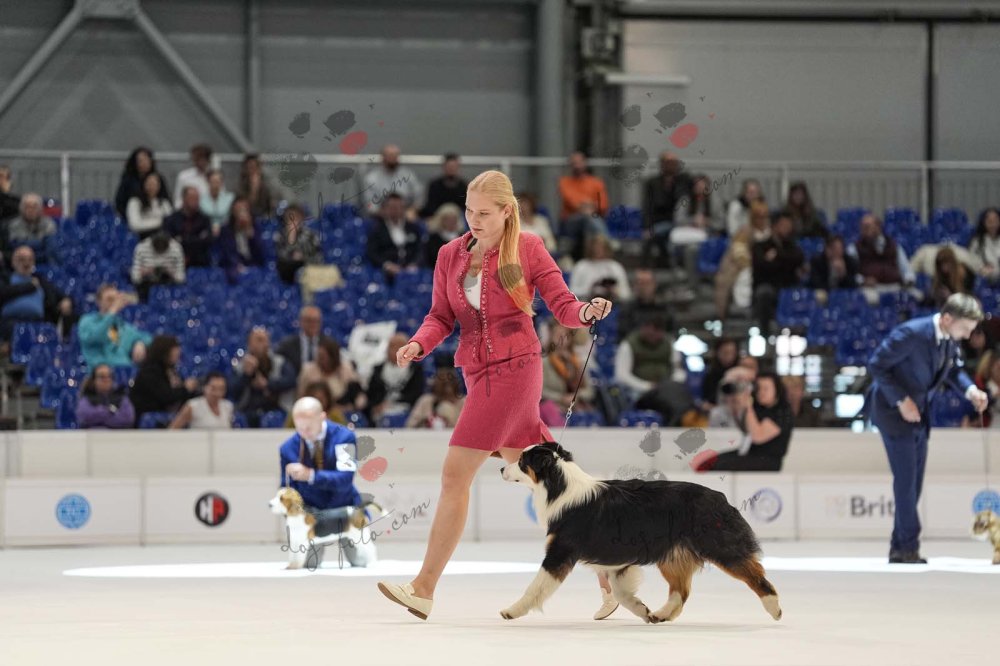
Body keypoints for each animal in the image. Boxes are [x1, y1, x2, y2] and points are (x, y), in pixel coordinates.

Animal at [498, 442, 782, 623]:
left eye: (521, 462)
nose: (501, 468)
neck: (558, 486)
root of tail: (721, 498)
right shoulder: (617, 560)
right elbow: (620, 592)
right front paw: (641, 609)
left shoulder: (560, 552)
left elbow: (535, 587)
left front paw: (512, 610)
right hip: (673, 556)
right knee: (680, 592)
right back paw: (661, 614)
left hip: (720, 547)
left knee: (756, 575)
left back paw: (774, 607)